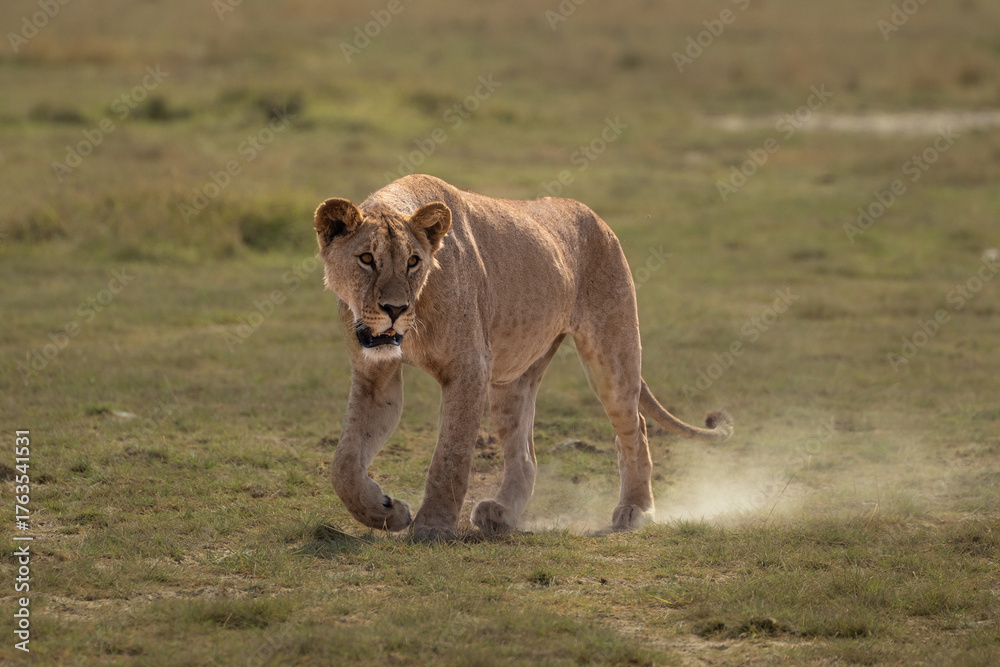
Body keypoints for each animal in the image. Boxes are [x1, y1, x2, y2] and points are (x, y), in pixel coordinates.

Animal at [314, 174, 733, 540]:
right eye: (366, 259)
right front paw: (387, 512)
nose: (395, 309)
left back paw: (636, 509)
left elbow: (450, 456)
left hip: (612, 355)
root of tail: (596, 217)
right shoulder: (376, 375)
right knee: (525, 455)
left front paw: (432, 527)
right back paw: (501, 514)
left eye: (413, 262)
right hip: (511, 379)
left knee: (636, 428)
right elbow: (345, 463)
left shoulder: (469, 369)